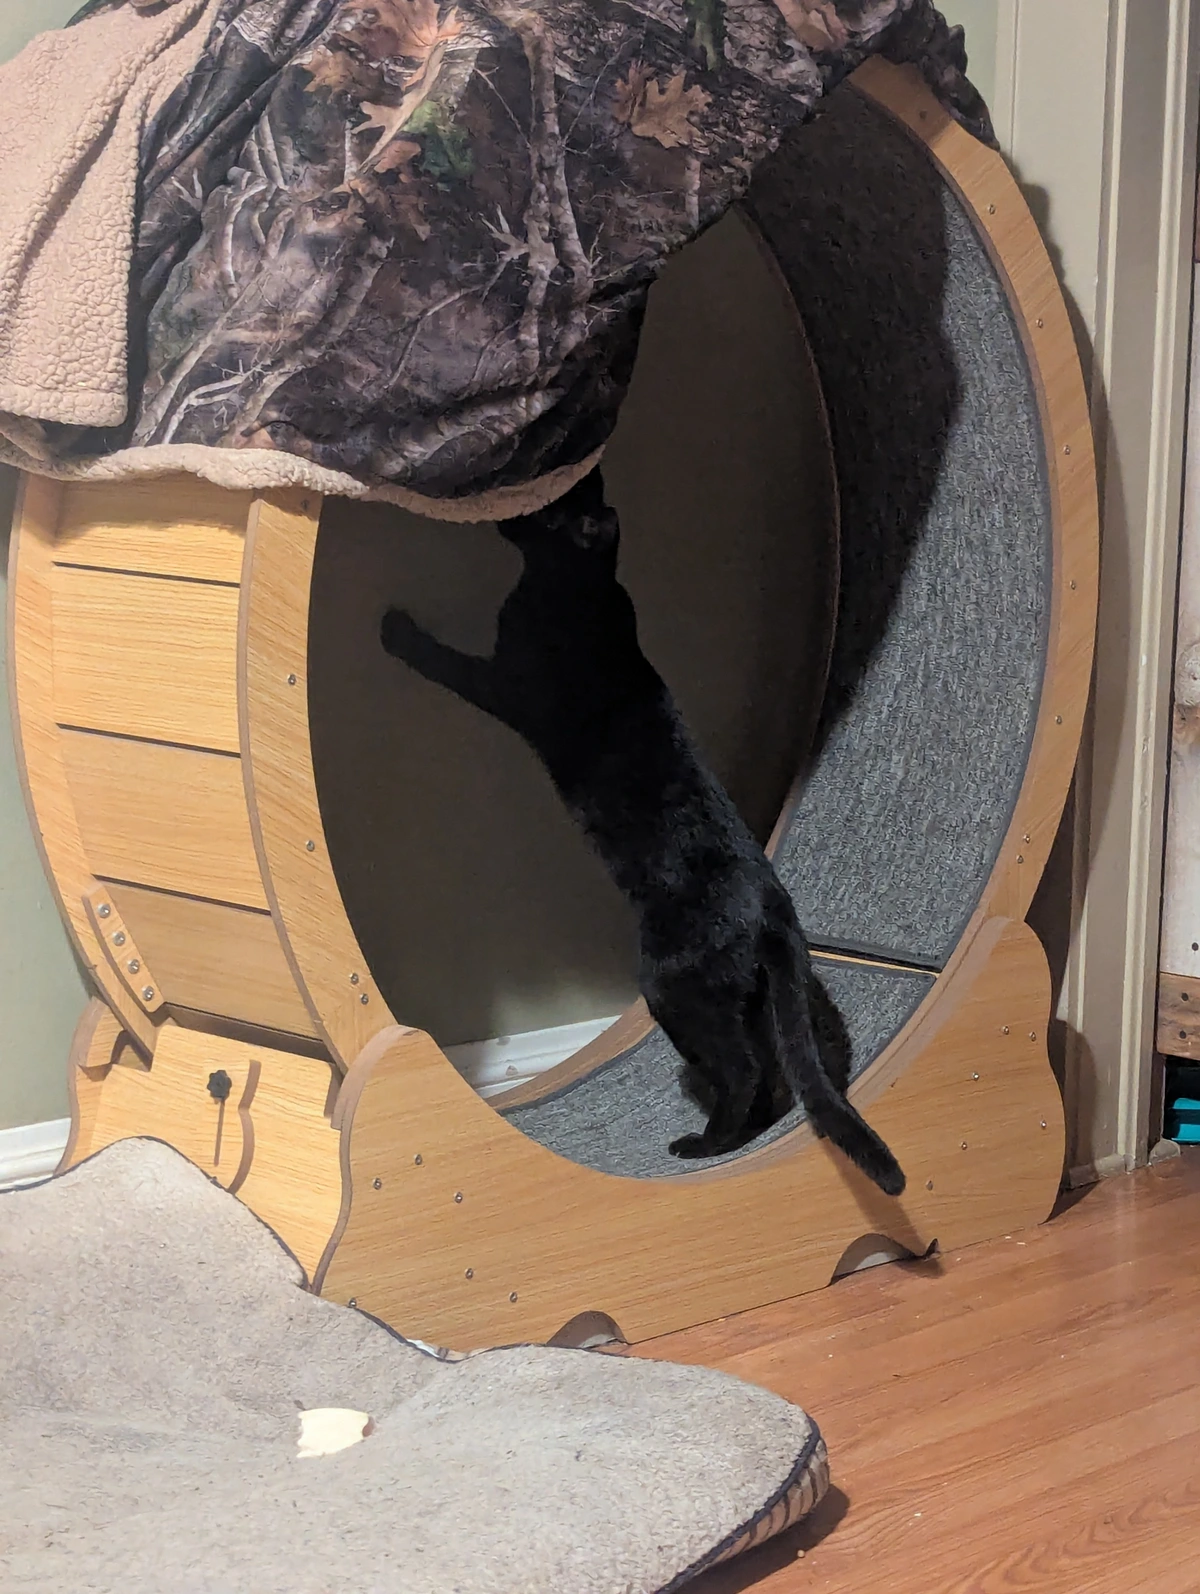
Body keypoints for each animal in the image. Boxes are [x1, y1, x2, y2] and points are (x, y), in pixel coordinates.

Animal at [380, 469, 905, 1196]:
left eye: (546, 509)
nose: (504, 514)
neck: (581, 584)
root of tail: (771, 902)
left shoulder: (504, 681)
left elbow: (444, 663)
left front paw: (394, 631)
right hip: (746, 998)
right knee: (766, 1067)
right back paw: (732, 1139)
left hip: (674, 989)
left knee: (743, 1069)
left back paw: (702, 1146)